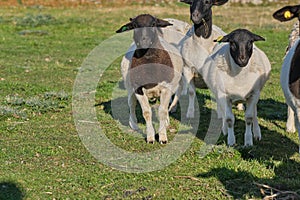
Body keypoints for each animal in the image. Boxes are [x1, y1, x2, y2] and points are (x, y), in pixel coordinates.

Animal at [116, 14, 183, 144]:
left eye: (153, 24)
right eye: (135, 25)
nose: (144, 42)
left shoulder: (166, 88)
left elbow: (162, 111)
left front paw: (162, 137)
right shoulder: (138, 89)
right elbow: (147, 112)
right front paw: (150, 137)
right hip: (129, 87)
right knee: (131, 103)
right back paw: (134, 124)